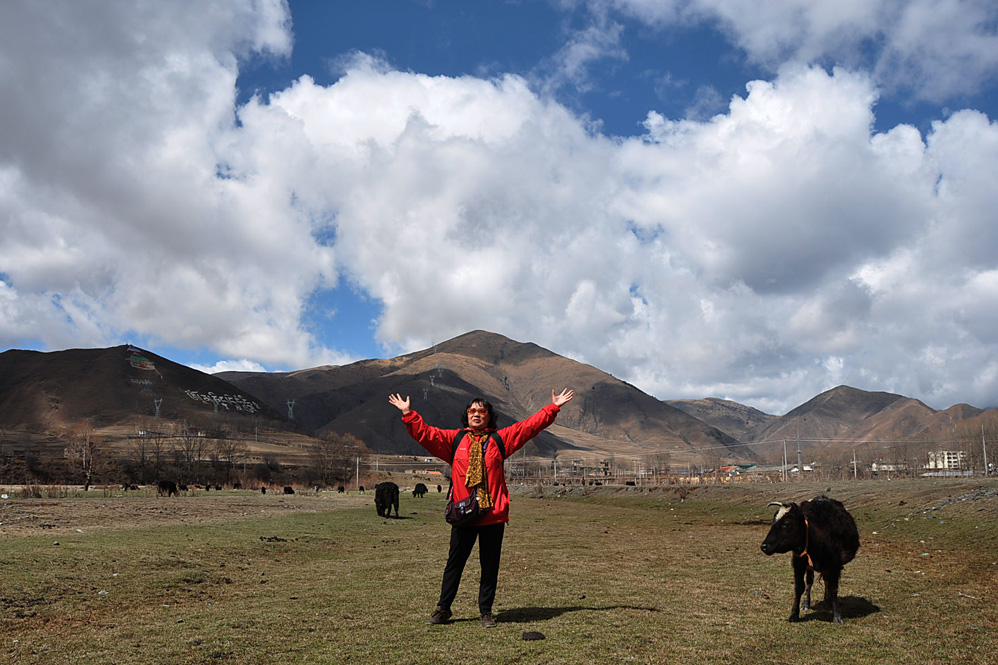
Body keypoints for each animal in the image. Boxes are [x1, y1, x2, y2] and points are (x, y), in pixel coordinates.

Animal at [764, 492, 860, 624]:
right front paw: (794, 614)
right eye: (773, 523)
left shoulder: (834, 565)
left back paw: (828, 601)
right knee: (810, 581)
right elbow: (799, 587)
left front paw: (837, 616)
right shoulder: (798, 562)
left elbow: (833, 588)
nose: (764, 546)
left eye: (786, 524)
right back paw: (807, 603)